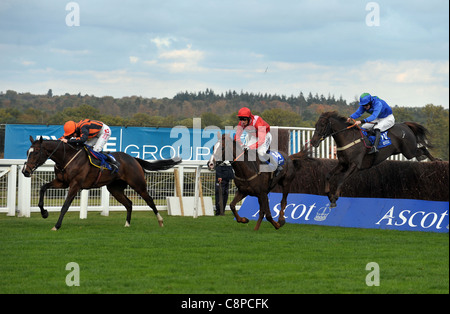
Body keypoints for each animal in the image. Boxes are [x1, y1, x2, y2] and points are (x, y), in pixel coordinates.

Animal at [22, 136, 181, 229]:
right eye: (27, 152)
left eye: (35, 152)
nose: (25, 171)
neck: (67, 157)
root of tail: (133, 159)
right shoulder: (62, 182)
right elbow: (43, 188)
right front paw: (44, 213)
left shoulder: (75, 185)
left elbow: (65, 205)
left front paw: (56, 225)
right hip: (115, 189)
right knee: (129, 203)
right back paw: (127, 224)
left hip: (138, 184)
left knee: (149, 201)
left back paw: (160, 221)